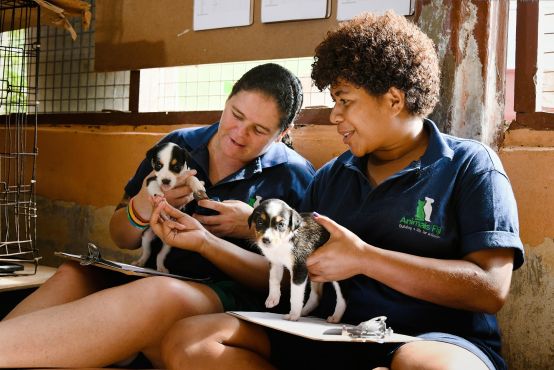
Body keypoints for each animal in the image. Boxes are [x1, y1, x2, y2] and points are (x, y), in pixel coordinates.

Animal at [133, 142, 207, 272]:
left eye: (176, 166)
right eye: (158, 165)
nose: (166, 181)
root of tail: (159, 236)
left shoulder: (185, 176)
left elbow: (191, 177)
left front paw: (198, 186)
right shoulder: (150, 178)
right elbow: (154, 184)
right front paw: (159, 195)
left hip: (168, 244)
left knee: (160, 255)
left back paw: (161, 268)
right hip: (146, 237)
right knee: (147, 252)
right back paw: (140, 262)